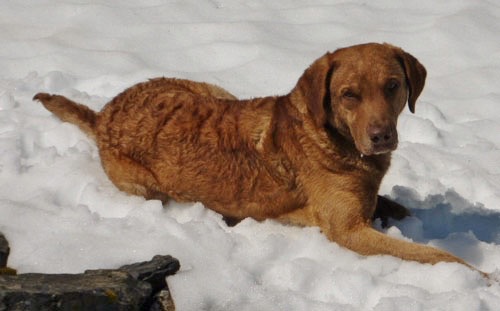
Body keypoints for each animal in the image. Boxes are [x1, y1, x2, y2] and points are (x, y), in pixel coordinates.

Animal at [34, 43, 480, 272]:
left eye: (393, 86)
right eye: (349, 95)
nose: (381, 136)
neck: (329, 135)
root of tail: (103, 114)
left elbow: (394, 207)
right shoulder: (348, 230)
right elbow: (435, 255)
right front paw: (480, 275)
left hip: (214, 90)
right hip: (145, 187)